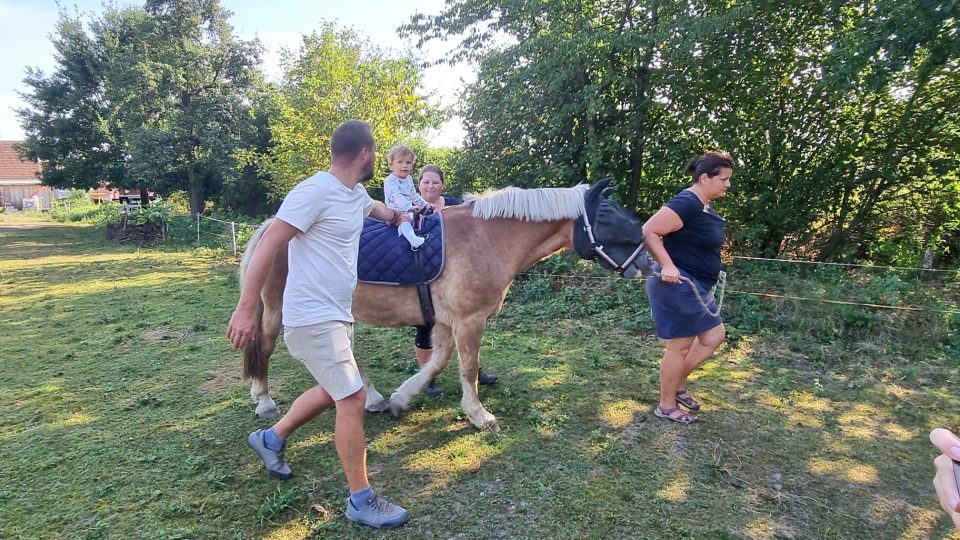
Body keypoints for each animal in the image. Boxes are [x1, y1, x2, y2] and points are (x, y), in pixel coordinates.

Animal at [240, 179, 648, 432]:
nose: (646, 260)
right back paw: (264, 400)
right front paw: (479, 415)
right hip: (277, 310)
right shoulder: (470, 320)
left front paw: (401, 399)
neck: (487, 238)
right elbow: (467, 368)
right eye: (607, 215)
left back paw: (373, 397)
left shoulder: (444, 322)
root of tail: (274, 224)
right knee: (266, 347)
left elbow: (436, 362)